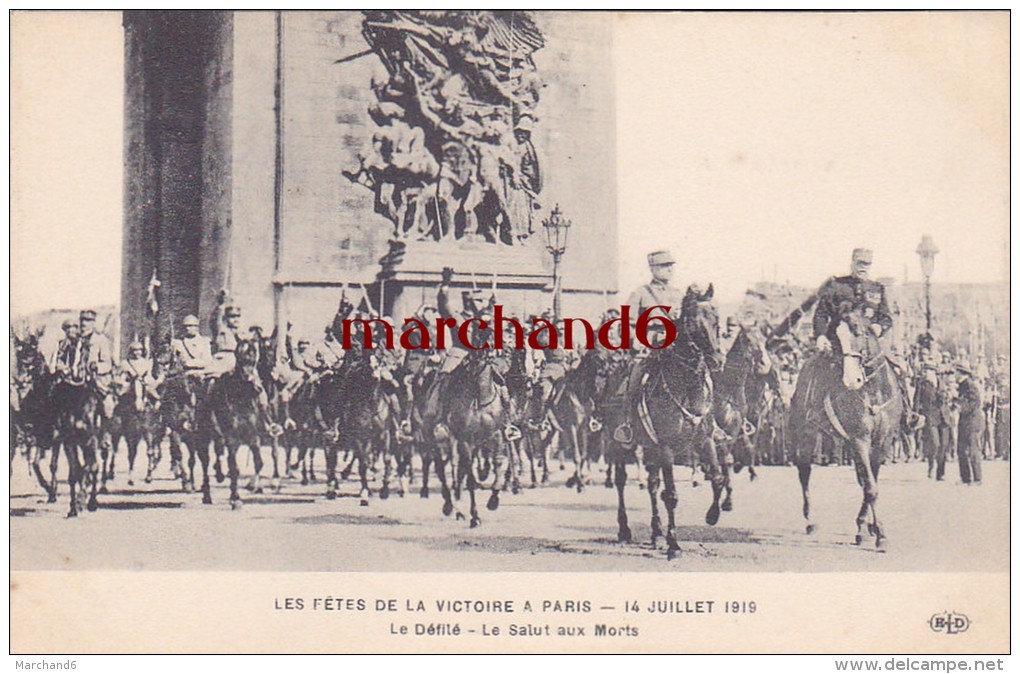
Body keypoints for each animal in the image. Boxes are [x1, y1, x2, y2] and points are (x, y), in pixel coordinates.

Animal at [624, 283, 722, 558]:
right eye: (692, 323)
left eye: (716, 319)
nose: (717, 360)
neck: (686, 387)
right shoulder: (666, 446)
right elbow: (671, 495)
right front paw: (674, 543)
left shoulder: (705, 439)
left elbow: (717, 477)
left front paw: (713, 515)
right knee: (623, 484)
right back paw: (625, 530)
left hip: (650, 448)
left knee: (652, 484)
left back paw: (656, 533)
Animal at [787, 309, 901, 546]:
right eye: (836, 338)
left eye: (858, 331)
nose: (851, 380)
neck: (874, 391)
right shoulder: (860, 440)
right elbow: (870, 487)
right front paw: (879, 533)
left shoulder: (882, 443)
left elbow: (870, 481)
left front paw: (868, 527)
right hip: (806, 435)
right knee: (804, 472)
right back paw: (810, 521)